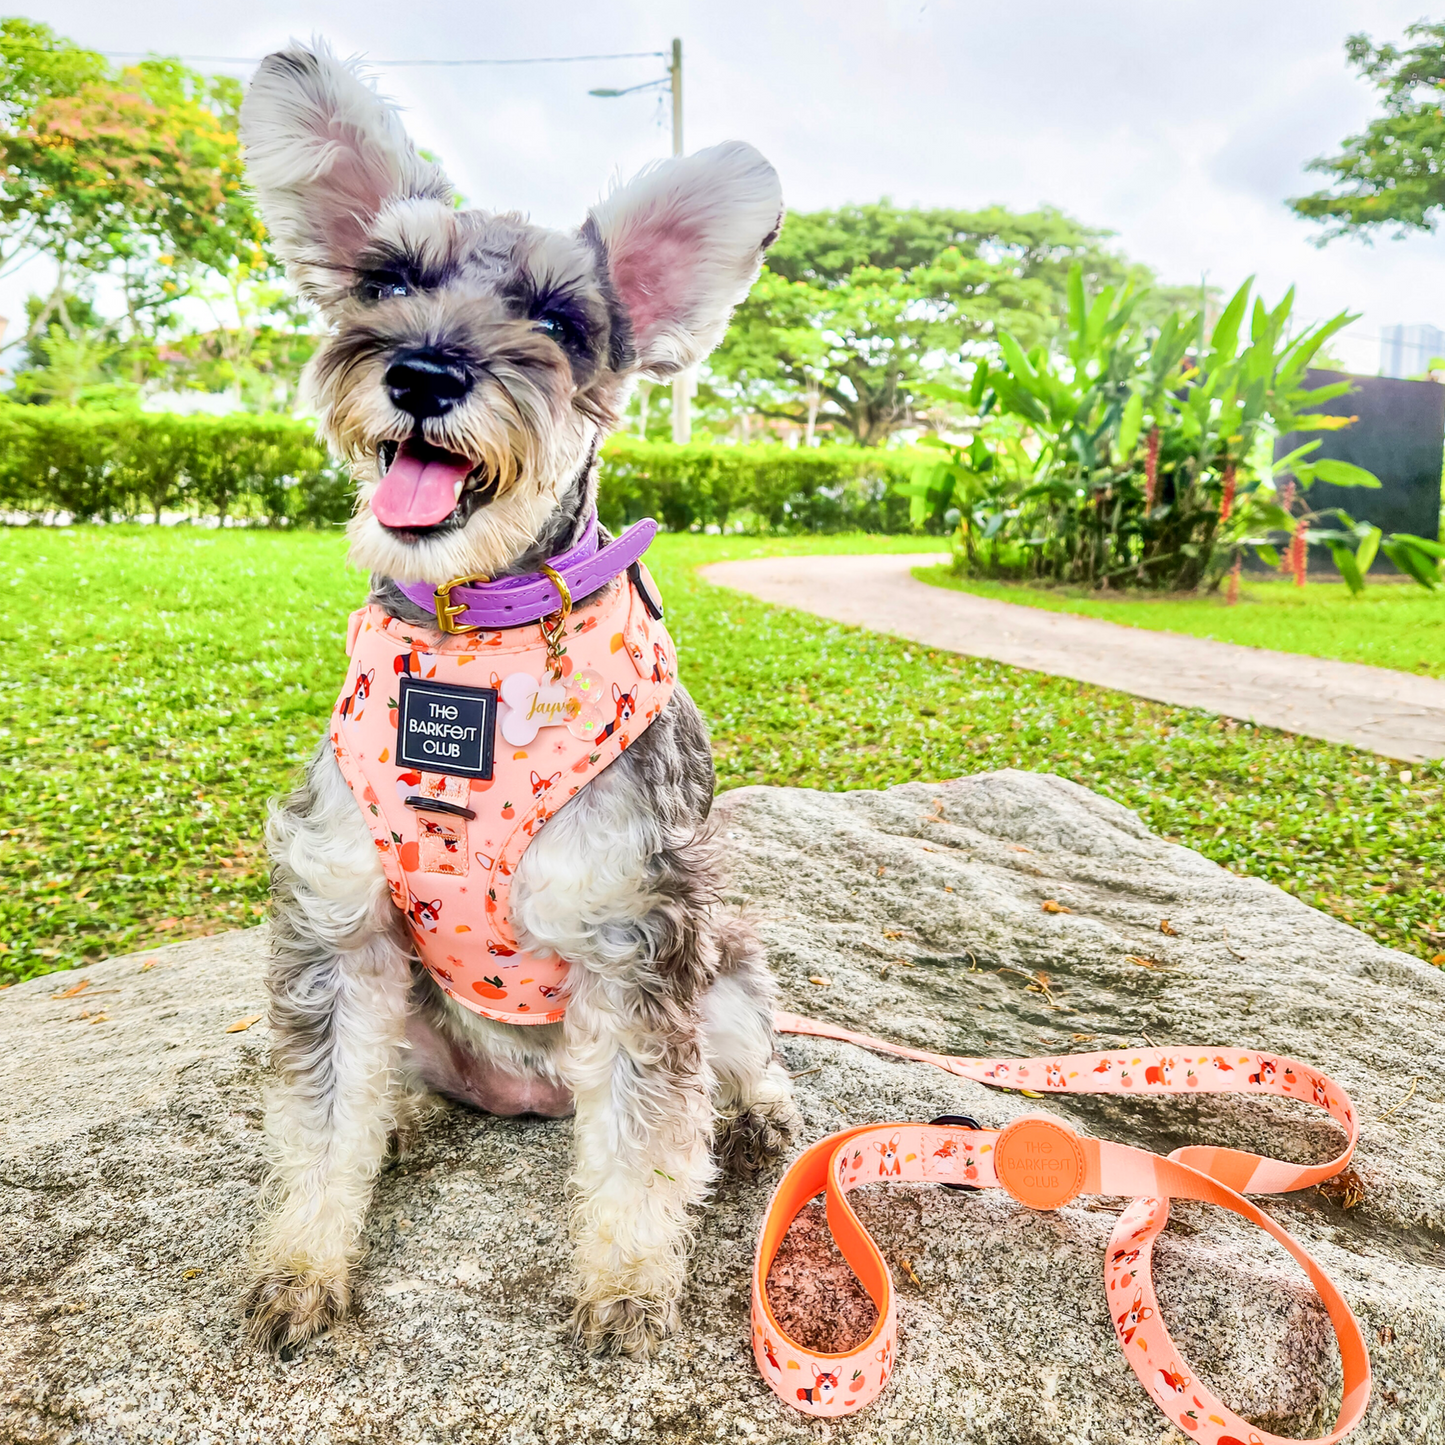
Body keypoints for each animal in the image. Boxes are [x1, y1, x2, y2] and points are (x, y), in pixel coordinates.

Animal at [239, 39, 803, 1358]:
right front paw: (302, 1262)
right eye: (384, 280)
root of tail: (531, 1093)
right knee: (390, 1080)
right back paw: (405, 1120)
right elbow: (318, 1113)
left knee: (732, 1065)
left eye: (556, 317)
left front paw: (627, 1284)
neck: (472, 638)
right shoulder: (337, 923)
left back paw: (755, 1114)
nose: (423, 372)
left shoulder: (637, 937)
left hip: (724, 972)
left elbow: (645, 1137)